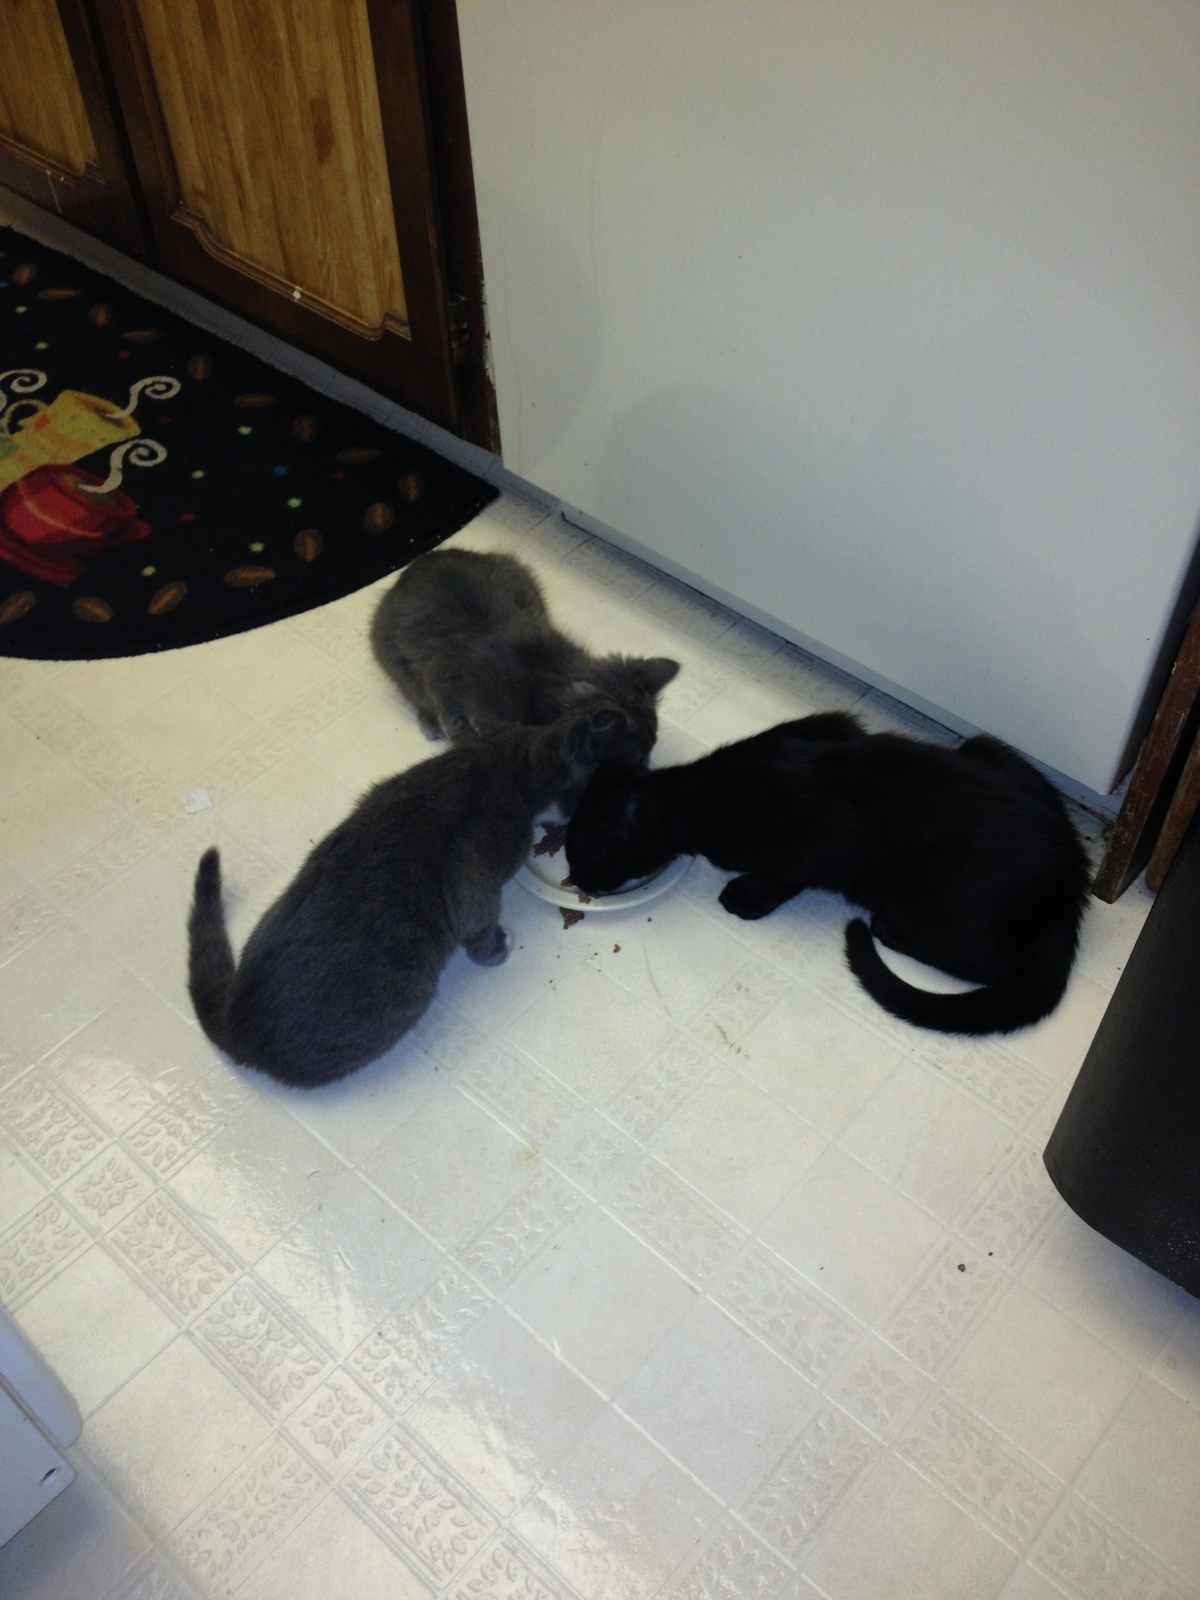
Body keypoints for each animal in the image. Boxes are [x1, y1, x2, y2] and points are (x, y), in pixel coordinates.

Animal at [188, 705, 630, 1086]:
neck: (503, 759)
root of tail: (232, 1023)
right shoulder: (478, 860)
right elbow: (476, 919)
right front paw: (498, 946)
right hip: (402, 993)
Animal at [370, 549, 679, 780]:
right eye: (632, 760)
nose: (645, 773)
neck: (543, 679)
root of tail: (421, 560)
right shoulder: (459, 704)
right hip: (394, 660)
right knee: (415, 695)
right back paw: (428, 721)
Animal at [565, 711, 1091, 1035]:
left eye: (586, 859)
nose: (577, 882)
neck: (700, 790)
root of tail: (1072, 886)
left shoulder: (822, 829)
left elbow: (782, 875)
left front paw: (744, 898)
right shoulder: (834, 723)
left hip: (935, 904)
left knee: (991, 966)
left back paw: (886, 929)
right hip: (986, 746)